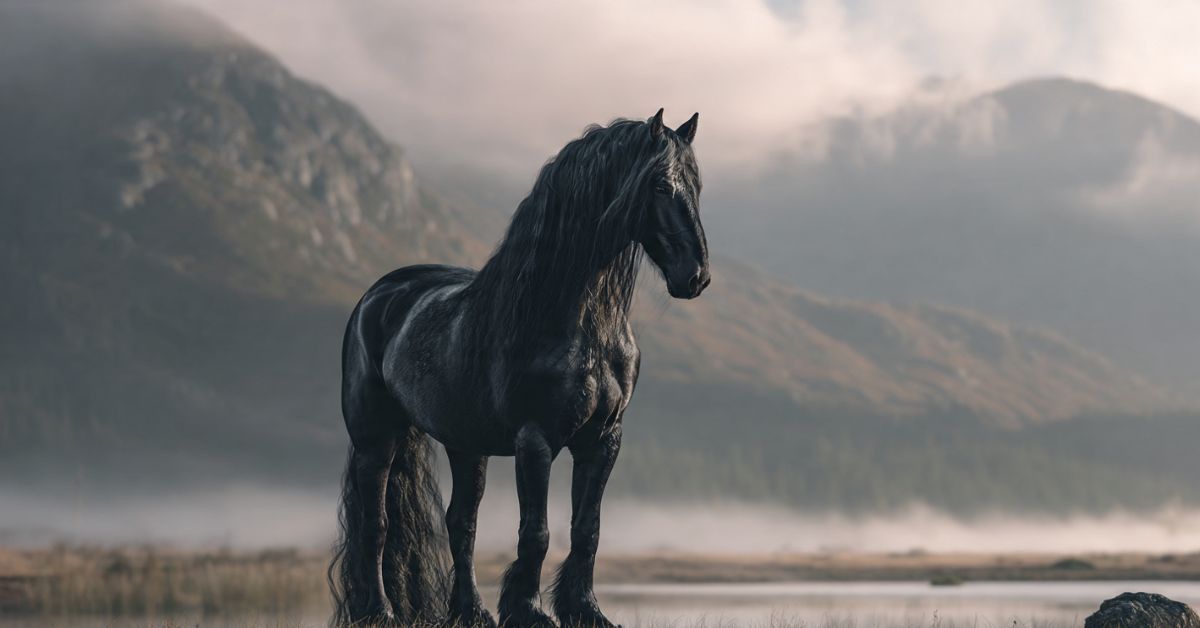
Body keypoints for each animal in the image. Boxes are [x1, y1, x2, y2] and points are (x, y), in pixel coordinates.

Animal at [330, 108, 708, 628]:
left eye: (698, 185)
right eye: (658, 185)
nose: (696, 276)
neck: (576, 320)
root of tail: (379, 294)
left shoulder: (603, 439)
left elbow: (587, 528)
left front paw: (585, 610)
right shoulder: (536, 440)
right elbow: (537, 531)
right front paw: (528, 610)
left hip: (465, 445)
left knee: (461, 522)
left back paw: (471, 612)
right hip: (376, 436)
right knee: (377, 521)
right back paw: (380, 611)